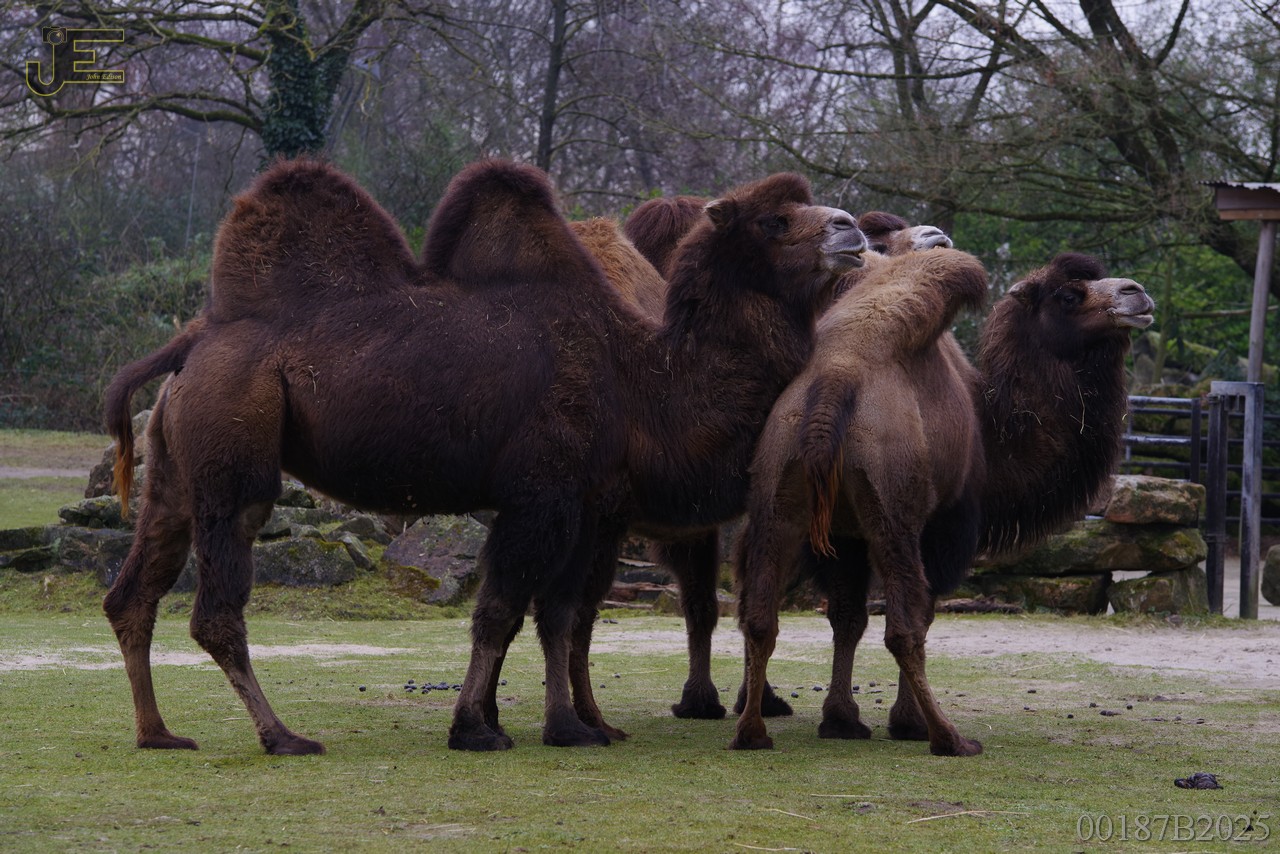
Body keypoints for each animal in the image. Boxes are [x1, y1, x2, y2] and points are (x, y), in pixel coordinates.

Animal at [101, 158, 867, 755]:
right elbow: (501, 609)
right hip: (235, 449)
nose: (851, 228)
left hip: (175, 465)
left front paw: (567, 726)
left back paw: (156, 732)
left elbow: (556, 613)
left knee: (131, 592)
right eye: (774, 220)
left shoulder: (585, 502)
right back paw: (282, 735)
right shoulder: (543, 492)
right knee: (216, 604)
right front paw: (478, 726)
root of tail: (194, 340)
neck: (643, 384)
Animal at [730, 252, 1154, 756]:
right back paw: (948, 737)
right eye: (1068, 295)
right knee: (903, 629)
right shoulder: (945, 527)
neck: (989, 433)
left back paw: (752, 729)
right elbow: (922, 616)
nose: (1136, 292)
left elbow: (847, 618)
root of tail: (834, 382)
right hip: (893, 515)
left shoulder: (843, 537)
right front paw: (902, 722)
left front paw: (841, 719)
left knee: (759, 616)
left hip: (778, 491)